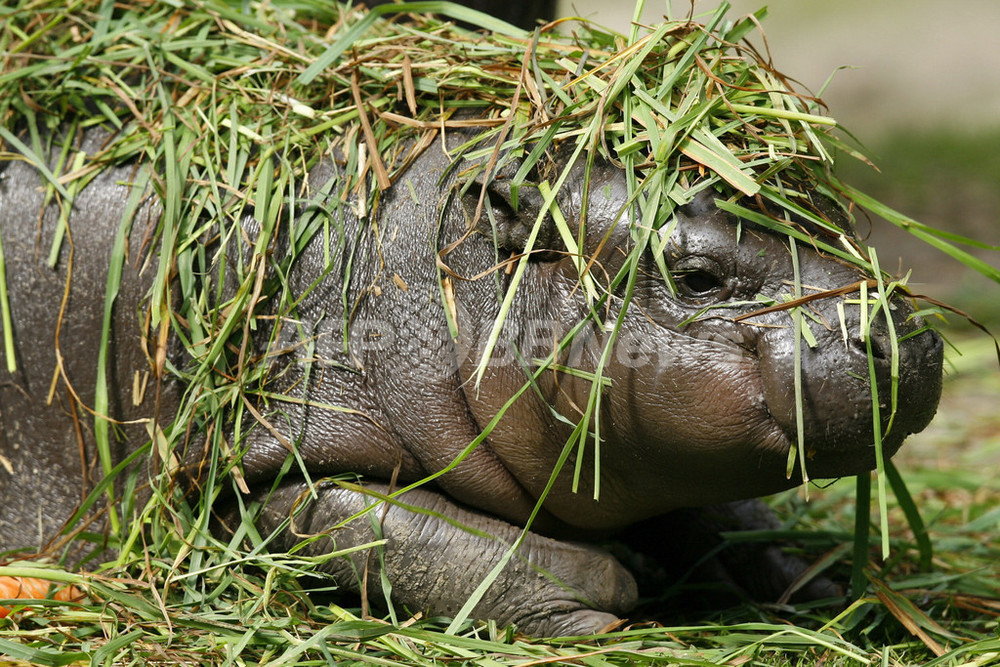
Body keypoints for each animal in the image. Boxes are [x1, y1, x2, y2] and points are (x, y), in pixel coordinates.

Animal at [0, 126, 940, 636]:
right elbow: (440, 544)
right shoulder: (276, 459)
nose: (906, 334)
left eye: (835, 215)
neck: (442, 269)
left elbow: (723, 516)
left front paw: (820, 584)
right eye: (699, 276)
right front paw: (608, 602)